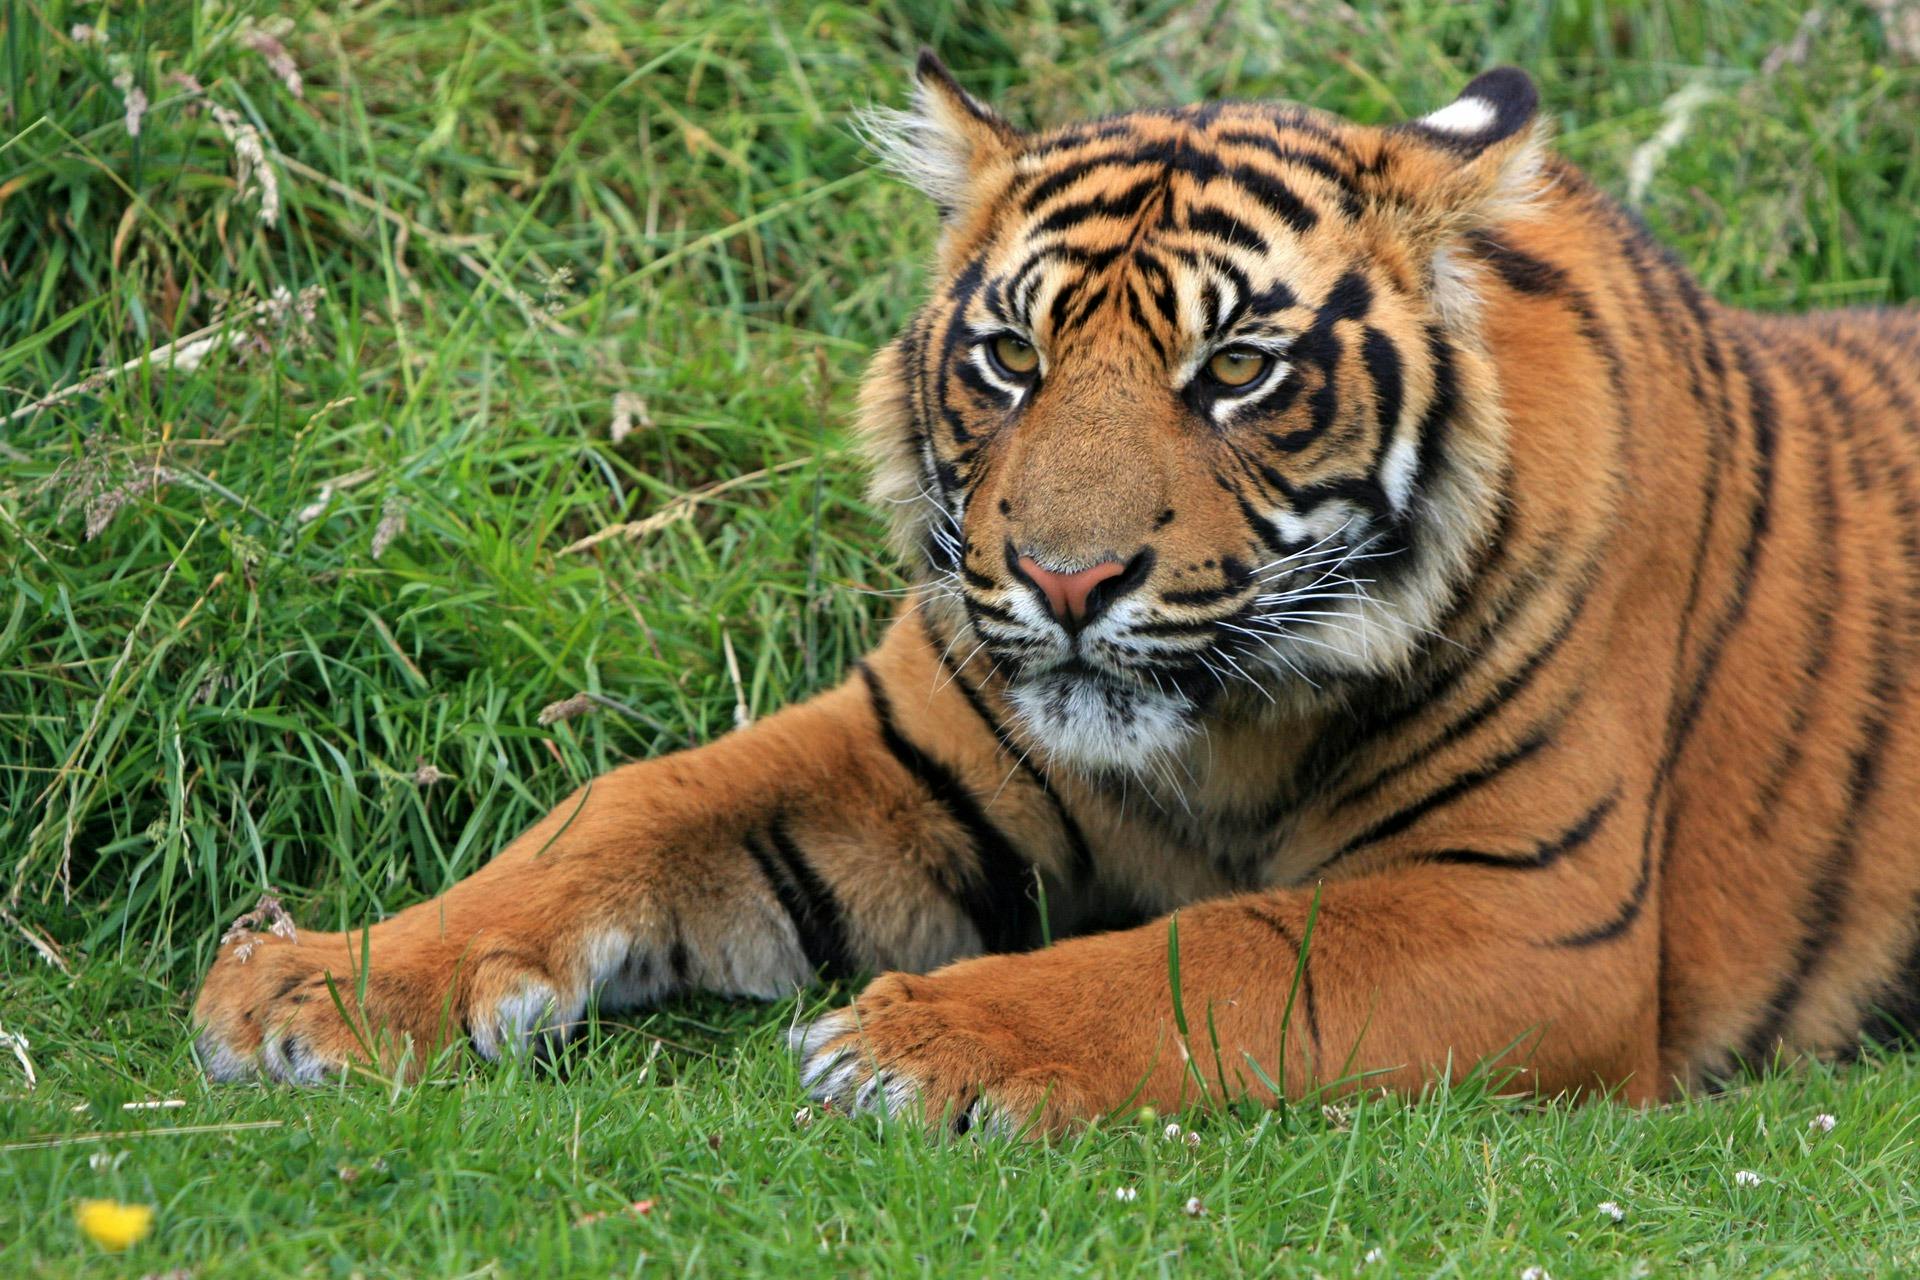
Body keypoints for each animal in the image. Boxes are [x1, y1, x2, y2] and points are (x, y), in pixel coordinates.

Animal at [187, 55, 1920, 1136]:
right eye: (1012, 357)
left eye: (1237, 370)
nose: (1067, 578)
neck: (1219, 737)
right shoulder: (899, 750)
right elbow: (620, 810)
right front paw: (315, 983)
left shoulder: (1530, 909)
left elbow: (1223, 951)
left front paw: (920, 1039)